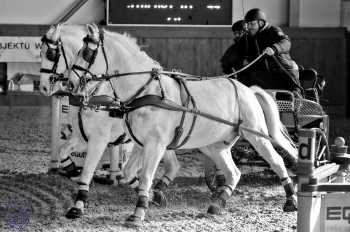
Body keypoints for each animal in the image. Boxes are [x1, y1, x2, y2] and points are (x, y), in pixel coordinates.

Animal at [39, 24, 179, 218]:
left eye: (51, 54)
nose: (43, 86)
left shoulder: (99, 140)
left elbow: (88, 170)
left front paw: (78, 206)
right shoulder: (82, 136)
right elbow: (63, 151)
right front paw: (73, 171)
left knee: (173, 165)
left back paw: (156, 192)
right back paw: (152, 193)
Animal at [67, 24, 298, 227]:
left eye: (86, 52)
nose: (70, 83)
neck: (147, 91)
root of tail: (248, 89)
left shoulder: (155, 145)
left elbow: (146, 177)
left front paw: (138, 214)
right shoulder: (141, 144)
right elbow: (130, 173)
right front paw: (151, 199)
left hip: (257, 135)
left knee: (277, 162)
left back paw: (291, 201)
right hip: (215, 146)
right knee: (233, 172)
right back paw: (217, 204)